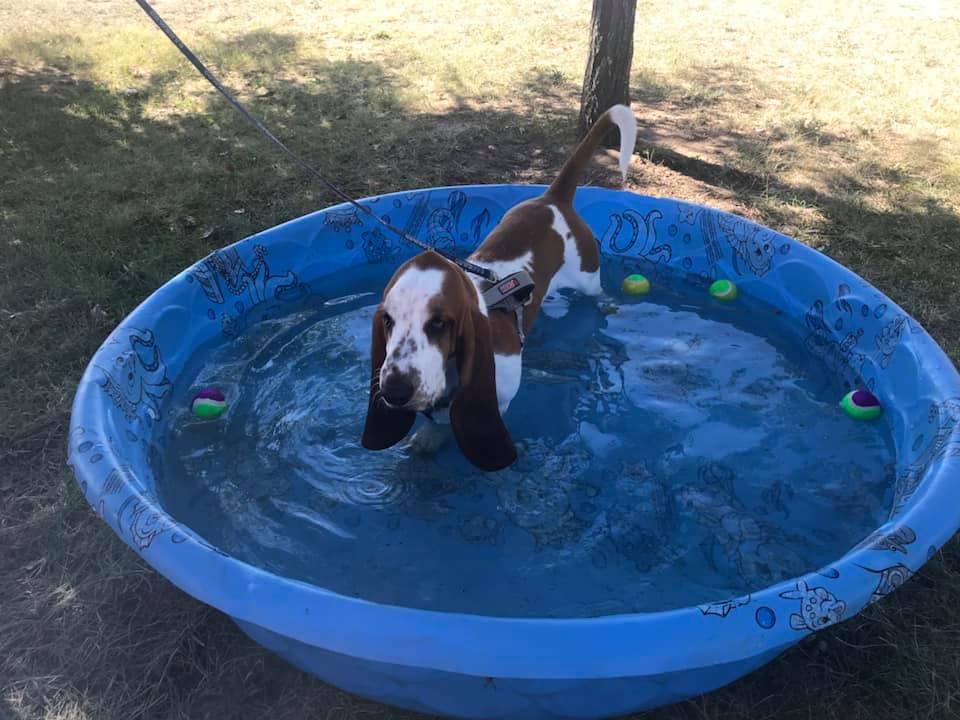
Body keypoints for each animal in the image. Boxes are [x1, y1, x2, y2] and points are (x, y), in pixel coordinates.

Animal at [360, 104, 636, 470]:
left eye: (439, 323)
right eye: (387, 321)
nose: (394, 390)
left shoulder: (499, 396)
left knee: (596, 294)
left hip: (587, 275)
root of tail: (553, 199)